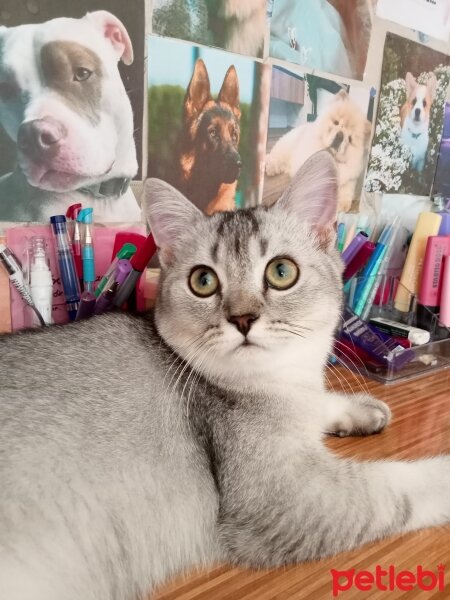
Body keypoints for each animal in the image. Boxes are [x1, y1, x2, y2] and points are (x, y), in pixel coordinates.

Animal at [0, 151, 450, 600]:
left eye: (282, 272)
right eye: (203, 280)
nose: (243, 318)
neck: (278, 385)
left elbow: (319, 403)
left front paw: (359, 410)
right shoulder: (288, 502)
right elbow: (393, 490)